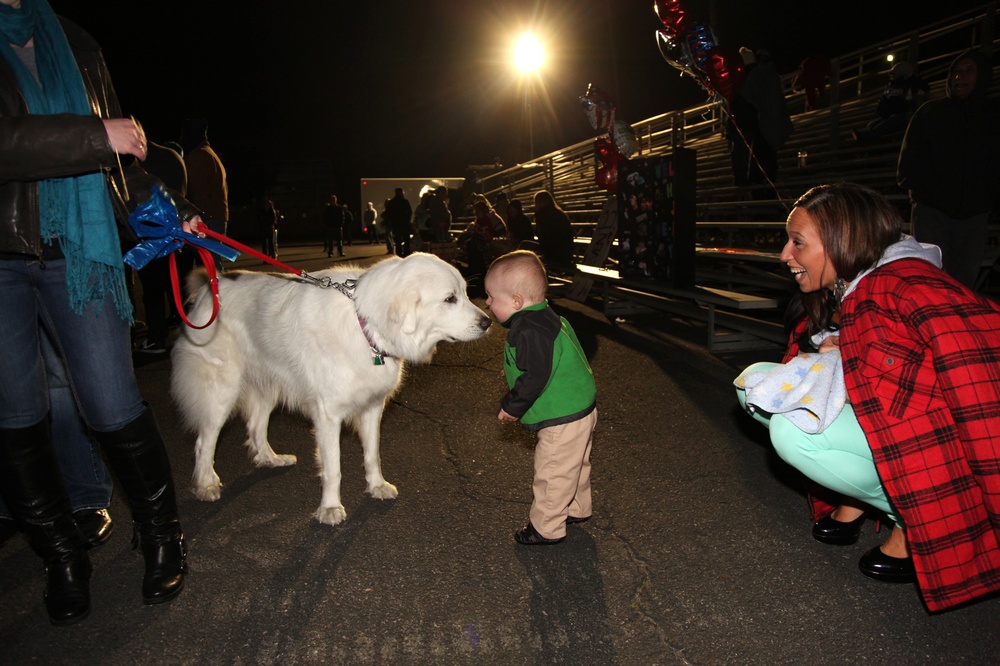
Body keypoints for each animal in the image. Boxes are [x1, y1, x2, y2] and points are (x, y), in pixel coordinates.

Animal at [172, 252, 492, 520]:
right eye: (450, 299)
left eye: (465, 293)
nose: (487, 322)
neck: (366, 325)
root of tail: (211, 285)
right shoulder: (329, 415)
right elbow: (333, 468)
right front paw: (330, 508)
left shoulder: (373, 406)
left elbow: (373, 454)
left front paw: (377, 486)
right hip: (221, 390)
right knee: (205, 442)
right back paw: (206, 484)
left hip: (268, 386)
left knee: (255, 425)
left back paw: (270, 459)